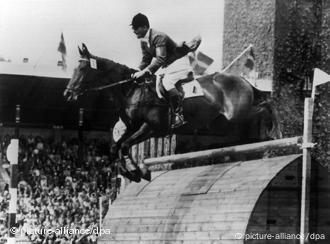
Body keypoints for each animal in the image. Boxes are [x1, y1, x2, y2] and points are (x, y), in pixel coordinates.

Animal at [64, 43, 282, 182]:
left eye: (82, 68)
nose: (67, 94)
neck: (132, 89)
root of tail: (243, 79)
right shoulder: (133, 127)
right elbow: (116, 147)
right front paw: (133, 172)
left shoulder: (151, 128)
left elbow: (124, 146)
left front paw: (137, 171)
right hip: (225, 120)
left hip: (238, 112)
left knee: (266, 104)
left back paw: (275, 132)